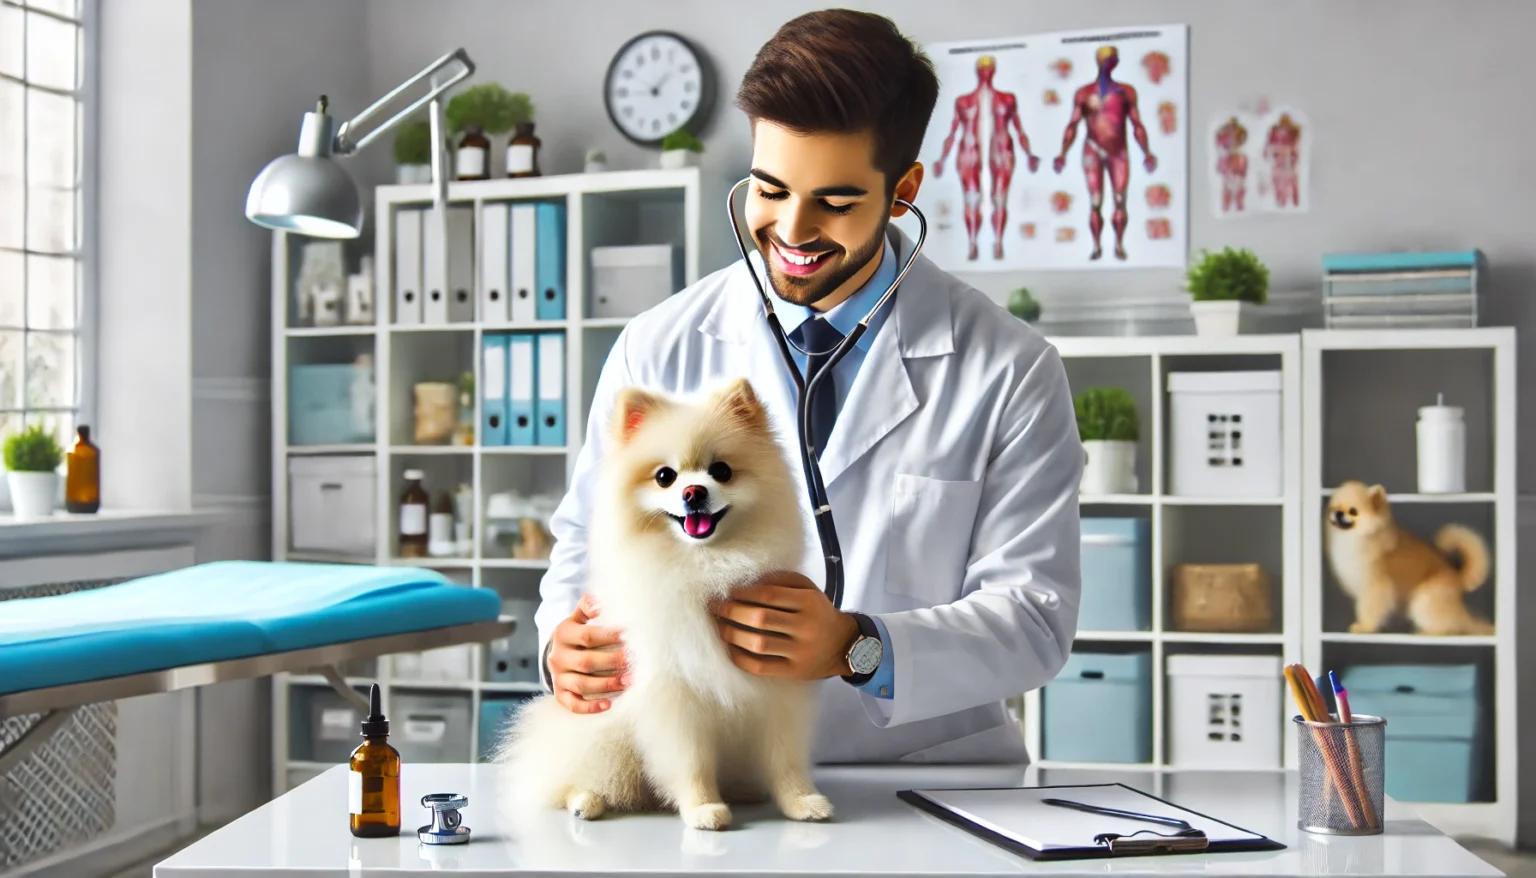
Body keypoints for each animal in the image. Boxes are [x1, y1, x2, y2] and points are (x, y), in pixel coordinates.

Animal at [491, 377, 835, 828]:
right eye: (664, 476)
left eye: (721, 470)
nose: (693, 491)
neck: (706, 564)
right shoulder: (675, 695)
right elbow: (692, 762)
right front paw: (703, 807)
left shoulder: (776, 686)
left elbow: (785, 759)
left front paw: (802, 801)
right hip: (605, 736)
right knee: (575, 778)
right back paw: (586, 800)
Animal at [1320, 475, 1486, 635]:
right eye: (1333, 508)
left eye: (1353, 511)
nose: (1338, 513)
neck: (1354, 538)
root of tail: (1457, 578)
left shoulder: (1375, 586)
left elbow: (1369, 608)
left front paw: (1365, 627)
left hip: (1425, 600)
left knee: (1452, 626)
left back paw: (1429, 632)